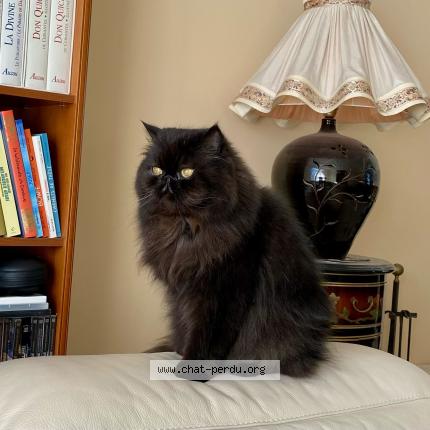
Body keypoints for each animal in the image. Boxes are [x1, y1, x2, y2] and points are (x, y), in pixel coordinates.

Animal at [136, 123, 332, 377]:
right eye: (157, 169)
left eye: (187, 172)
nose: (167, 180)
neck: (184, 228)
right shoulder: (183, 293)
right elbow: (189, 326)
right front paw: (182, 353)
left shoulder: (227, 289)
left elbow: (210, 335)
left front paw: (192, 371)